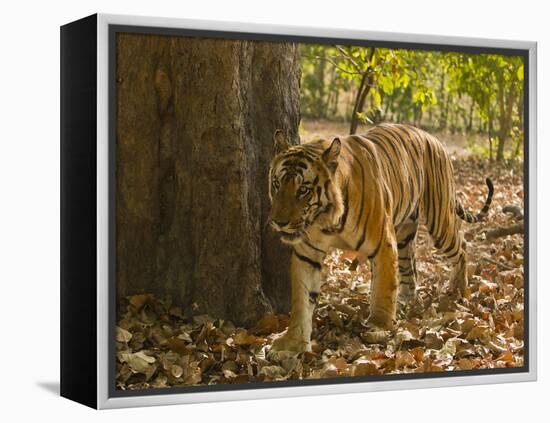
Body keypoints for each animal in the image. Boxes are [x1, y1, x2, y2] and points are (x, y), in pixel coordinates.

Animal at [268, 122, 496, 354]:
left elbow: (383, 288)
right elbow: (302, 299)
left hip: (440, 222)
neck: (326, 220)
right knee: (411, 270)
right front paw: (292, 343)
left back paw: (458, 290)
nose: (278, 222)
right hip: (404, 235)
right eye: (276, 184)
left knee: (462, 246)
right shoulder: (307, 253)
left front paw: (379, 326)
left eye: (303, 190)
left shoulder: (383, 244)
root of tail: (434, 139)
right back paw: (405, 301)